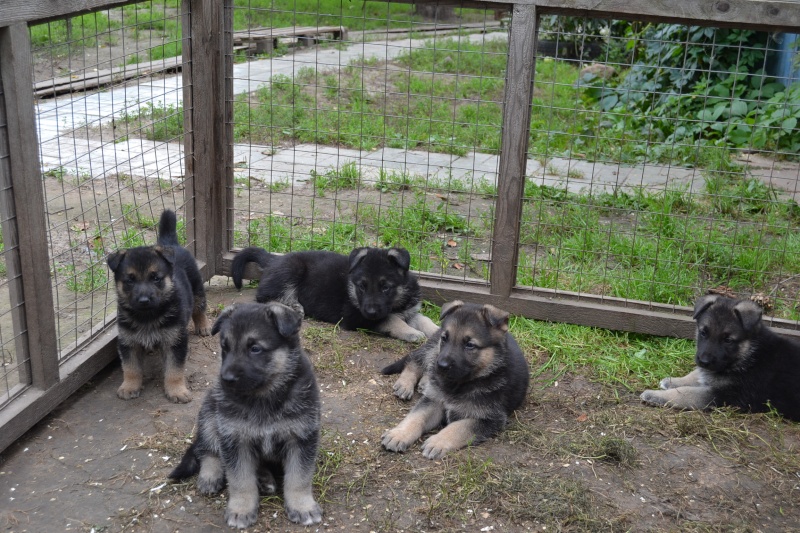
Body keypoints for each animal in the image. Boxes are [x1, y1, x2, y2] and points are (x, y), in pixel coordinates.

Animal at [108, 210, 211, 402]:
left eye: (155, 278)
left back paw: (203, 326)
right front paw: (129, 386)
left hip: (197, 288)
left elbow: (174, 370)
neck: (147, 316)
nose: (143, 300)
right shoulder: (128, 342)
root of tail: (170, 244)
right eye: (130, 280)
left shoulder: (174, 341)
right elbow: (130, 368)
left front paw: (176, 390)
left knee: (199, 308)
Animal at [169, 304, 322, 528]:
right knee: (208, 450)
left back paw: (264, 479)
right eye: (225, 347)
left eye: (255, 348)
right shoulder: (235, 439)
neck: (264, 396)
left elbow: (299, 478)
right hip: (210, 413)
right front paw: (241, 510)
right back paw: (211, 475)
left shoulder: (301, 437)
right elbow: (240, 479)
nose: (226, 379)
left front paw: (302, 506)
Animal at [231, 245, 438, 340]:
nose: (371, 311)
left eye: (385, 287)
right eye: (362, 286)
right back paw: (292, 307)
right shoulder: (358, 317)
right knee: (264, 297)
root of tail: (273, 259)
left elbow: (425, 320)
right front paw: (411, 332)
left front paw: (437, 331)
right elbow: (391, 320)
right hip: (292, 269)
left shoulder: (410, 311)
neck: (396, 302)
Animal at [382, 300, 532, 458]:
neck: (462, 383)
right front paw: (399, 434)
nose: (441, 366)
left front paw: (437, 441)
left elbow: (458, 427)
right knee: (415, 360)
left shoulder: (488, 419)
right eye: (445, 338)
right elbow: (416, 417)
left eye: (470, 345)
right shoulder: (434, 401)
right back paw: (405, 384)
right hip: (433, 350)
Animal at [644, 294, 800, 418]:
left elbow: (685, 393)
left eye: (728, 340)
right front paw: (673, 380)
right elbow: (696, 375)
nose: (704, 361)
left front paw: (655, 395)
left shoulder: (723, 395)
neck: (749, 355)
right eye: (703, 333)